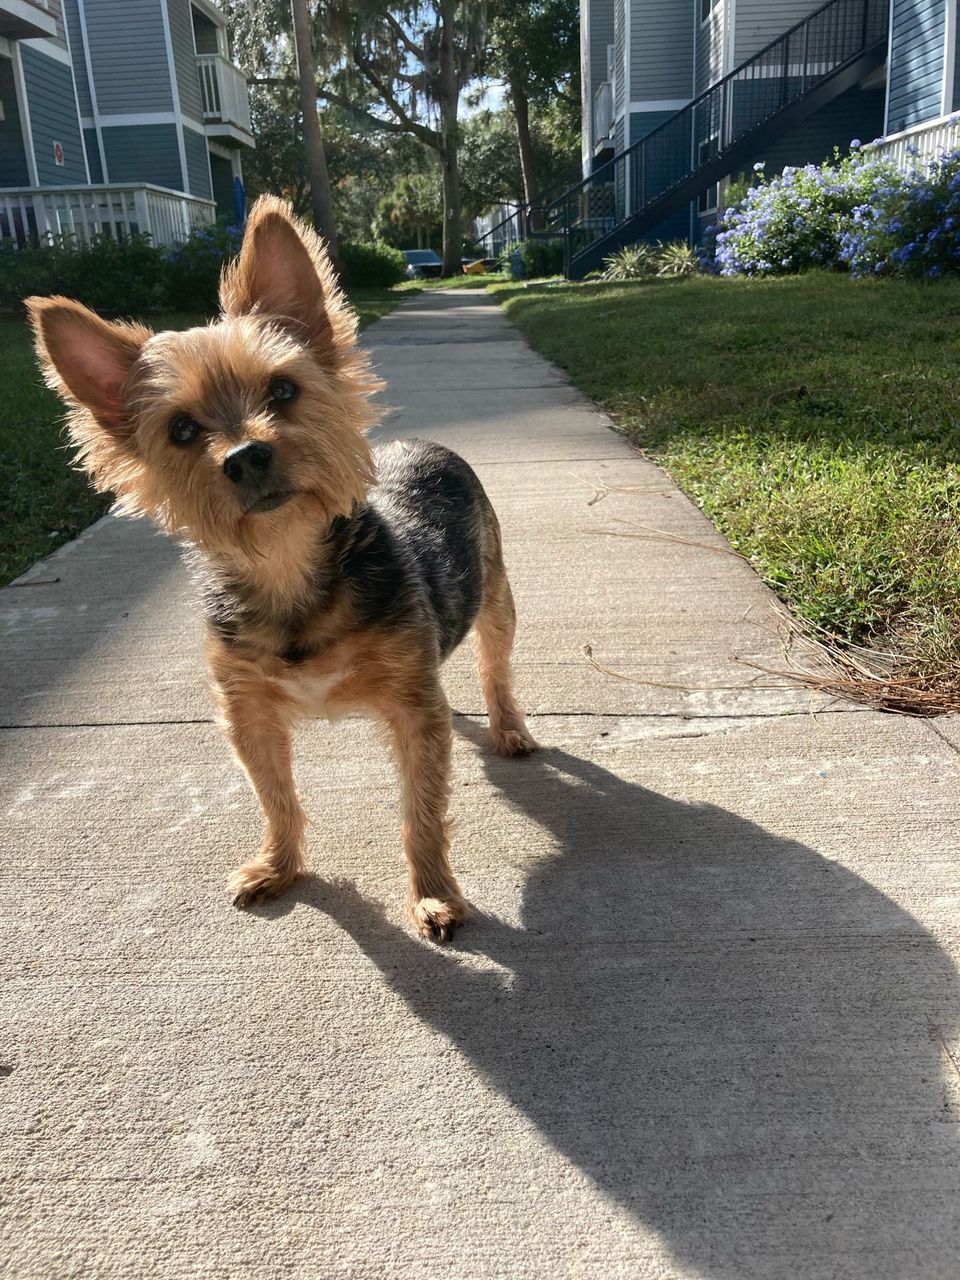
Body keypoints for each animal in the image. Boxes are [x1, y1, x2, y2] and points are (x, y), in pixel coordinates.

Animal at [28, 197, 537, 942]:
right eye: (182, 430)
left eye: (284, 389)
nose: (245, 456)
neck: (289, 571)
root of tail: (426, 442)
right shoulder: (247, 710)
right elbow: (274, 795)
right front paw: (280, 866)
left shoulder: (413, 706)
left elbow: (420, 808)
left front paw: (434, 894)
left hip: (495, 594)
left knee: (495, 665)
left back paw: (509, 729)